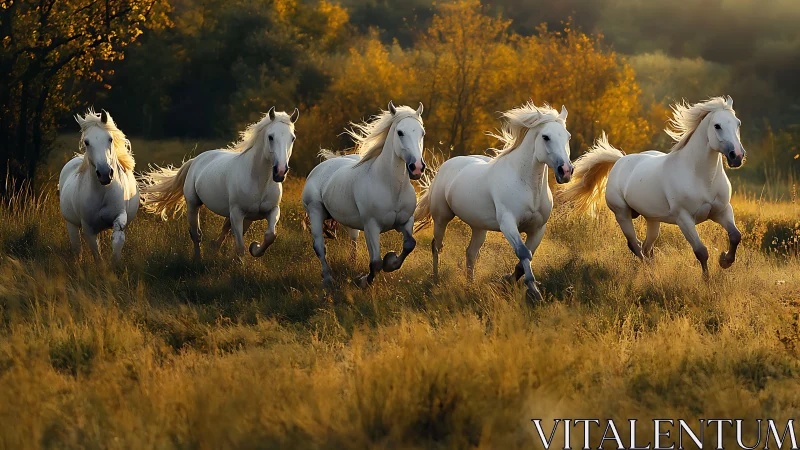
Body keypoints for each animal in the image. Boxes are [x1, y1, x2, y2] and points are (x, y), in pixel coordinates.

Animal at [59, 109, 139, 263]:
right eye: (87, 142)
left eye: (110, 139)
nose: (105, 173)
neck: (103, 192)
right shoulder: (88, 228)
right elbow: (96, 252)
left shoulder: (120, 216)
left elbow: (117, 239)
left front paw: (115, 263)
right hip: (71, 225)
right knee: (77, 249)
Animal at [140, 107, 299, 260]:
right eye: (271, 137)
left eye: (292, 138)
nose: (280, 171)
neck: (259, 181)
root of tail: (196, 160)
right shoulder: (237, 214)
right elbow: (240, 247)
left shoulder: (271, 211)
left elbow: (270, 235)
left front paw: (254, 248)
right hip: (193, 204)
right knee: (196, 234)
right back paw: (198, 259)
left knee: (224, 231)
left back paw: (214, 247)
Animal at [302, 101, 426, 287]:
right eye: (400, 132)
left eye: (422, 132)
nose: (417, 167)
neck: (390, 187)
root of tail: (320, 167)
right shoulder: (371, 226)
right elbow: (375, 262)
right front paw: (363, 281)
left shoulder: (405, 221)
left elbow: (410, 244)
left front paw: (391, 260)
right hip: (315, 212)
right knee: (320, 247)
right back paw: (327, 279)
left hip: (348, 222)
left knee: (352, 241)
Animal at [414, 102, 573, 301]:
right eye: (546, 137)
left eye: (567, 136)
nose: (565, 171)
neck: (528, 185)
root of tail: (447, 164)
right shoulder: (508, 224)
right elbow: (523, 253)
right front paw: (534, 291)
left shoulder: (538, 229)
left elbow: (525, 258)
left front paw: (507, 282)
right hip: (442, 217)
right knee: (437, 246)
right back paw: (435, 281)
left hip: (479, 227)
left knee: (471, 253)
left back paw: (470, 286)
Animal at [558, 96, 745, 277]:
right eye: (717, 125)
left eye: (738, 123)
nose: (737, 156)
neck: (700, 176)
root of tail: (620, 160)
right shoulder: (684, 218)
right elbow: (701, 251)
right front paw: (707, 281)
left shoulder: (722, 210)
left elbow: (736, 235)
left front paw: (724, 260)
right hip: (622, 214)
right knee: (635, 245)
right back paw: (650, 273)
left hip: (653, 220)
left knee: (646, 247)